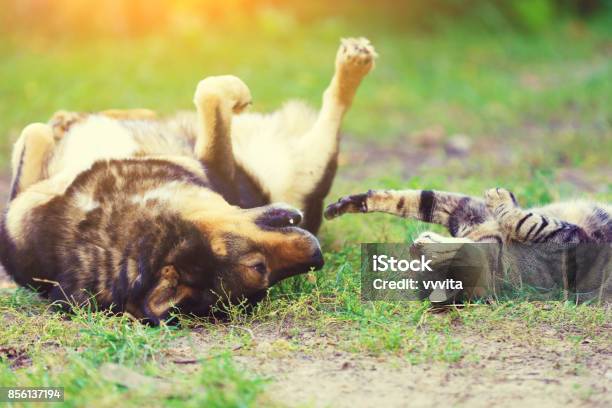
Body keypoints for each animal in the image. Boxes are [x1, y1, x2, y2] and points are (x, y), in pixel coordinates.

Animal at [1, 39, 378, 326]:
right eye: (261, 270)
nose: (317, 255)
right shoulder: (219, 171)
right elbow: (211, 92)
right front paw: (237, 93)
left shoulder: (22, 206)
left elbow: (33, 131)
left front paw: (65, 124)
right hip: (314, 163)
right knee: (334, 110)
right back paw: (354, 64)